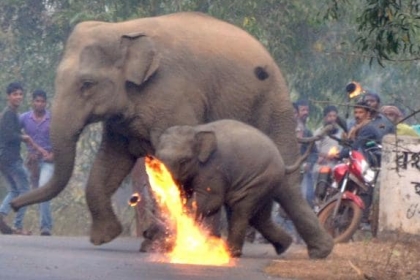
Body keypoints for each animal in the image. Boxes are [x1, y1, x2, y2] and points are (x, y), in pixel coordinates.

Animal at [153, 119, 304, 258]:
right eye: (157, 159)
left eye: (183, 161)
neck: (196, 130)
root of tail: (281, 160)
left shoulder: (213, 168)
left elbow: (211, 200)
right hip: (266, 183)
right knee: (259, 218)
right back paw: (284, 246)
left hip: (261, 179)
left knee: (241, 209)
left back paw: (231, 253)